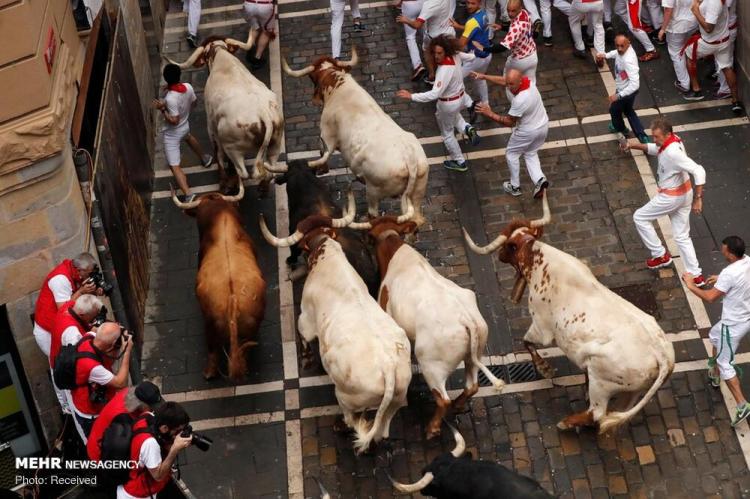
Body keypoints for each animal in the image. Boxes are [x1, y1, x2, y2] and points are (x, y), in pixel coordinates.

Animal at [258, 193, 412, 456]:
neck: (325, 251)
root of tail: (389, 370)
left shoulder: (306, 320)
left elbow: (303, 336)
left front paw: (307, 359)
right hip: (396, 403)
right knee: (380, 429)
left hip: (346, 397)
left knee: (351, 418)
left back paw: (340, 425)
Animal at [280, 47, 426, 228]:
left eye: (312, 78)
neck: (337, 84)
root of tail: (410, 158)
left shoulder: (326, 134)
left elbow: (323, 151)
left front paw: (321, 169)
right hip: (417, 194)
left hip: (373, 192)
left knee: (374, 215)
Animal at [352, 215, 506, 438]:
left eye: (368, 236)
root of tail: (466, 319)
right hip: (474, 354)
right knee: (472, 387)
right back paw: (458, 405)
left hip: (432, 366)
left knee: (443, 399)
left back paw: (433, 428)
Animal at [464, 193, 676, 436]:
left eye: (509, 246)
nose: (499, 255)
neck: (537, 257)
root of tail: (663, 355)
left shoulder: (541, 326)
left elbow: (527, 342)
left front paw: (545, 369)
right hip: (632, 391)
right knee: (616, 411)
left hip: (601, 381)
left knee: (596, 414)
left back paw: (566, 423)